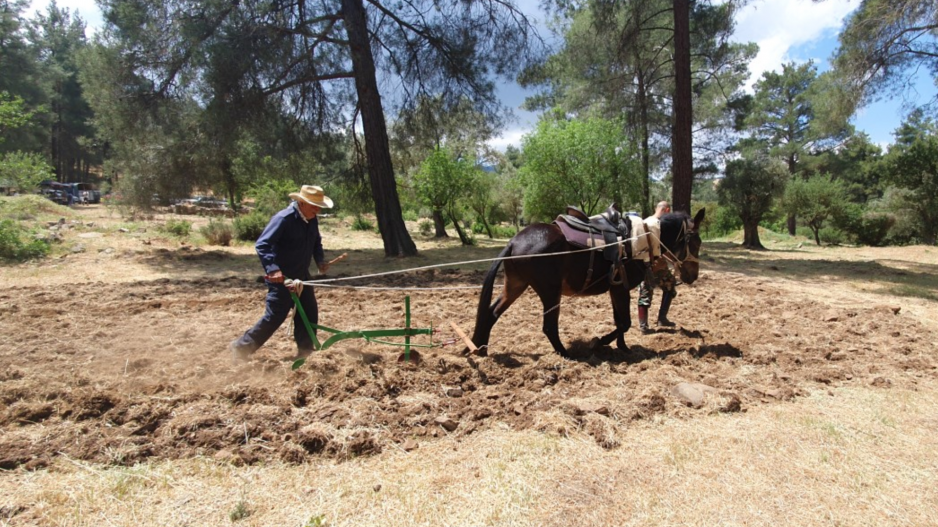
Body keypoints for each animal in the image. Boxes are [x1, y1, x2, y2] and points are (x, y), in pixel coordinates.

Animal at [468, 208, 704, 356]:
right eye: (696, 242)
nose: (693, 275)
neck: (640, 239)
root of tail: (514, 241)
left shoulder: (615, 289)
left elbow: (620, 321)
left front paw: (623, 348)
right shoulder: (621, 288)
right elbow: (625, 322)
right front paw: (599, 342)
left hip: (515, 285)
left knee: (491, 313)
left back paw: (482, 348)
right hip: (550, 293)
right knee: (549, 327)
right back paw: (566, 354)